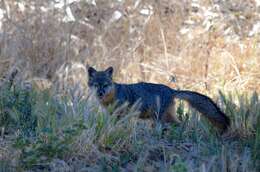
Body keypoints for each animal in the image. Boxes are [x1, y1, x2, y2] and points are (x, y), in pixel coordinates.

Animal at [87, 66, 230, 132]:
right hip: (166, 117)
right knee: (180, 124)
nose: (100, 93)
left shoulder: (122, 114)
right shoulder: (112, 114)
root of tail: (172, 90)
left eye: (105, 85)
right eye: (96, 85)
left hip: (158, 118)